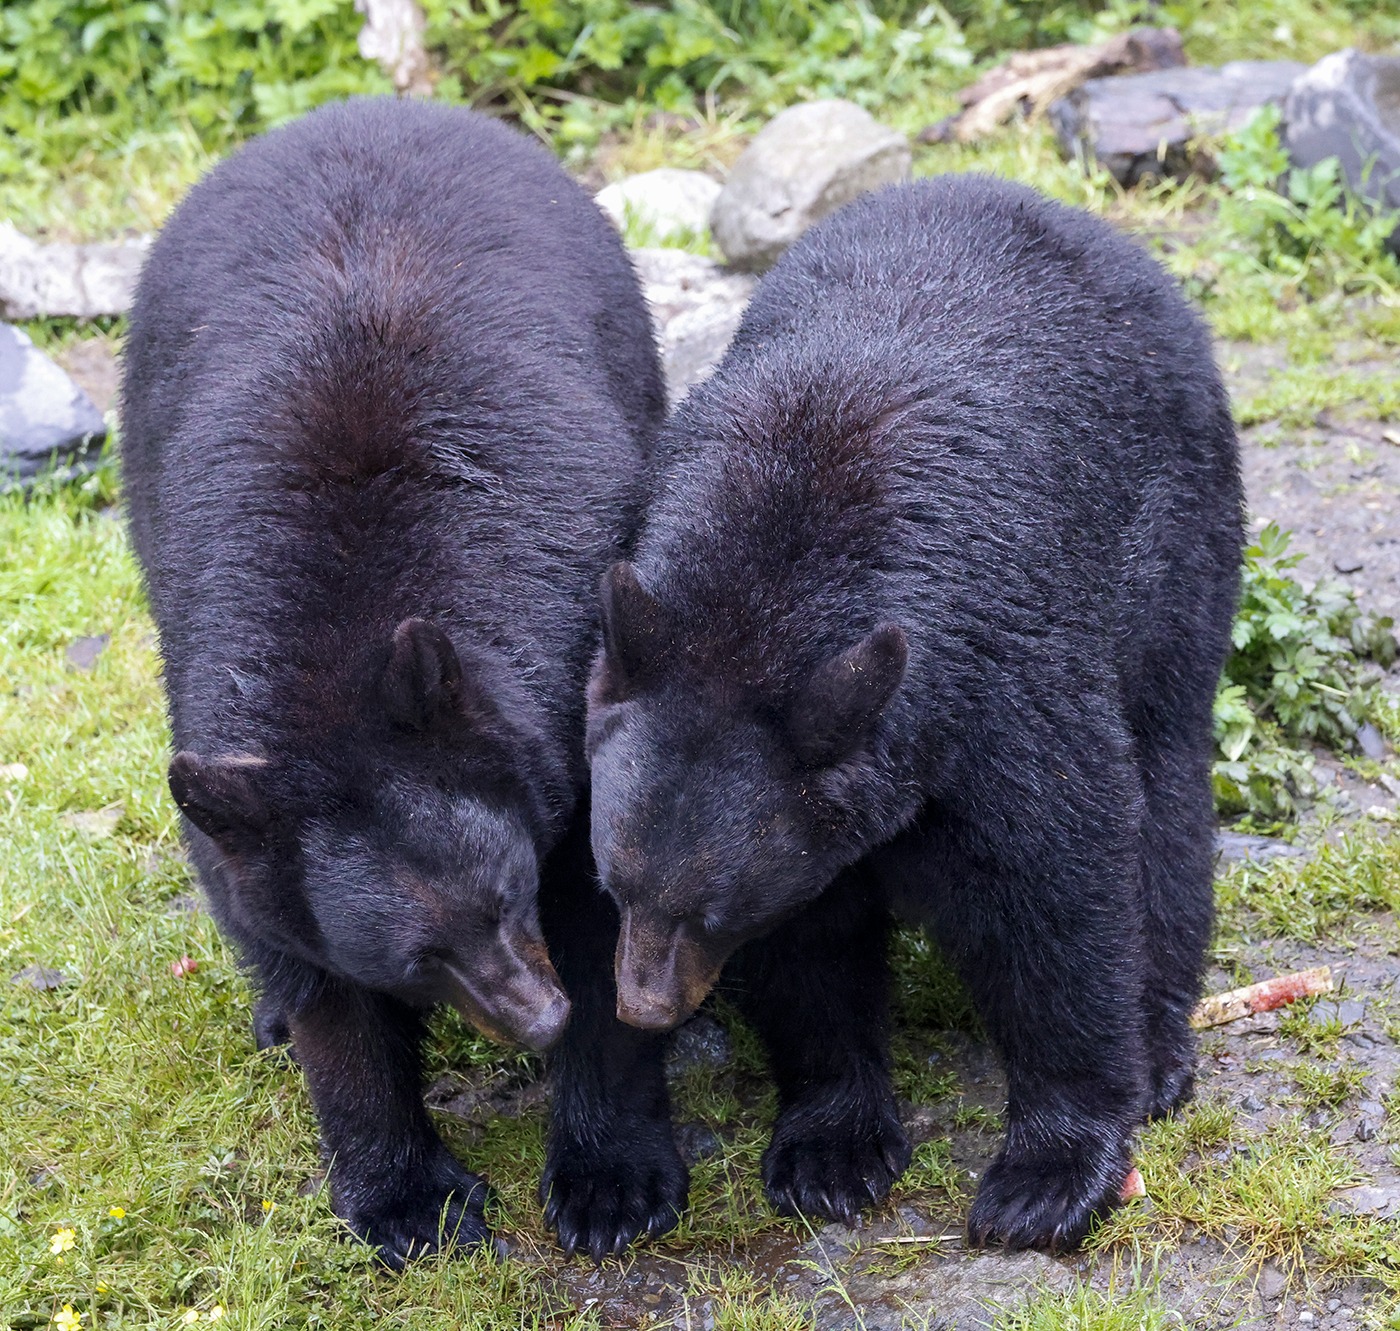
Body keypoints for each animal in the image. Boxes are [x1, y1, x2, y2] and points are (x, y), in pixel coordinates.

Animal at [120, 97, 665, 1267]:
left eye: (506, 894)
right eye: (420, 957)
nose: (536, 1018)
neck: (337, 657)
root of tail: (366, 106)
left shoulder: (568, 703)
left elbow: (615, 901)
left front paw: (609, 1178)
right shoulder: (241, 781)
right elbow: (315, 975)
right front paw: (410, 1200)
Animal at [541, 174, 1243, 1257]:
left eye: (708, 911)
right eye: (612, 886)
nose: (644, 1004)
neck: (767, 602)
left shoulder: (997, 695)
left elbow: (1059, 889)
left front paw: (1049, 1173)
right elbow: (811, 948)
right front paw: (831, 1147)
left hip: (1176, 542)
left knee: (1164, 798)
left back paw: (1162, 1045)